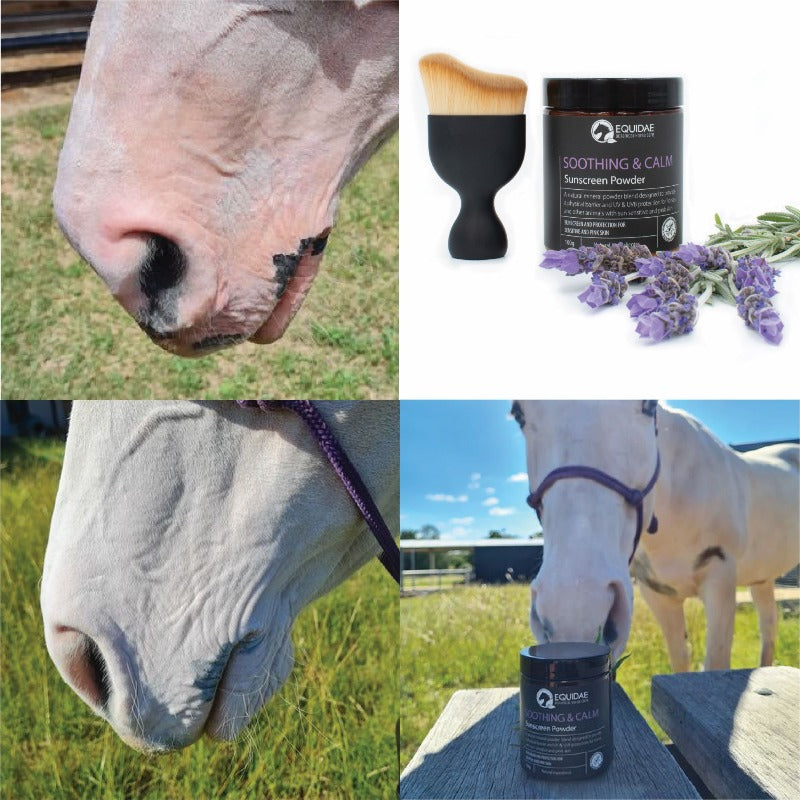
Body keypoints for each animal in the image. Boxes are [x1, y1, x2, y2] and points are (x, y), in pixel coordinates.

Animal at [511, 400, 799, 671]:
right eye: (518, 413)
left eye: (649, 404)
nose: (575, 613)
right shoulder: (657, 594)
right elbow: (680, 659)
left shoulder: (720, 577)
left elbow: (716, 662)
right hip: (762, 579)